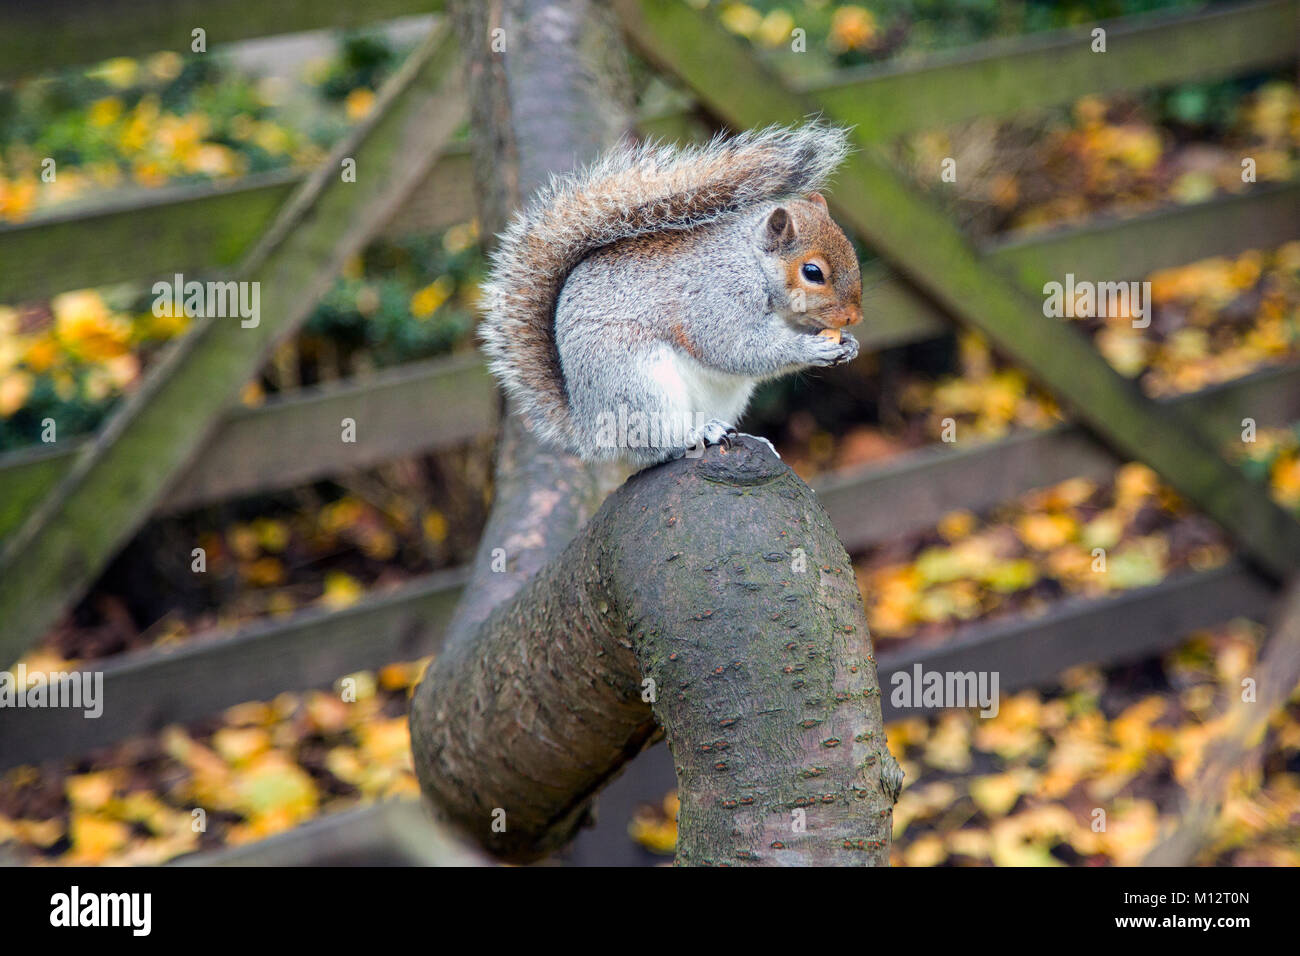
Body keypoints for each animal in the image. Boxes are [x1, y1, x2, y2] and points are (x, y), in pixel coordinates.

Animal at [483, 121, 857, 465]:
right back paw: (694, 437)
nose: (854, 317)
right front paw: (810, 348)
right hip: (639, 389)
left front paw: (849, 344)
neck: (752, 261)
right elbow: (732, 345)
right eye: (813, 272)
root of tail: (591, 425)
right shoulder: (718, 293)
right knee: (654, 446)